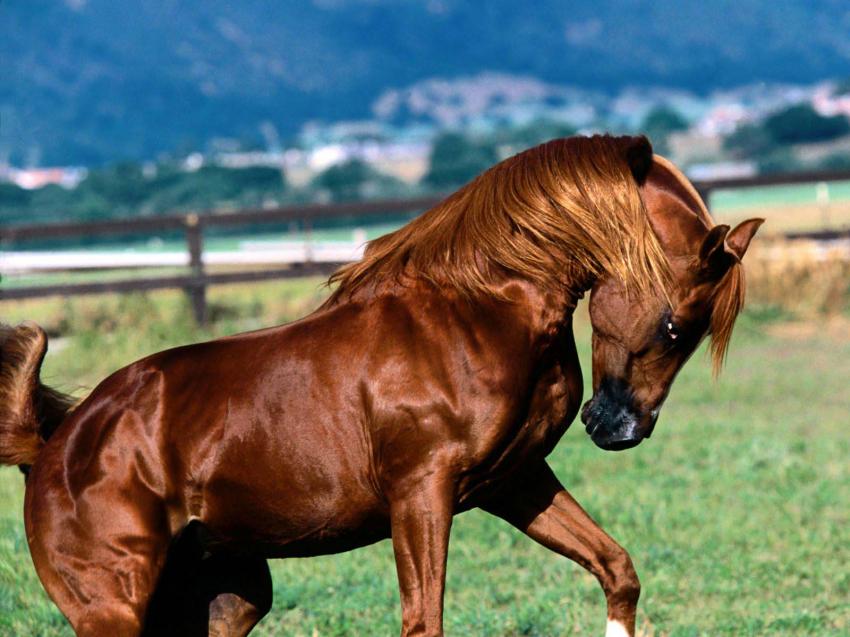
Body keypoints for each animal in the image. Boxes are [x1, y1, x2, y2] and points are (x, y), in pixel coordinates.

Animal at [0, 135, 762, 637]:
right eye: (676, 325)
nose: (619, 428)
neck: (475, 311)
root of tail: (53, 445)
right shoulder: (421, 494)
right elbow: (424, 621)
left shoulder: (514, 481)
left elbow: (616, 567)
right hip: (116, 608)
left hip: (229, 597)